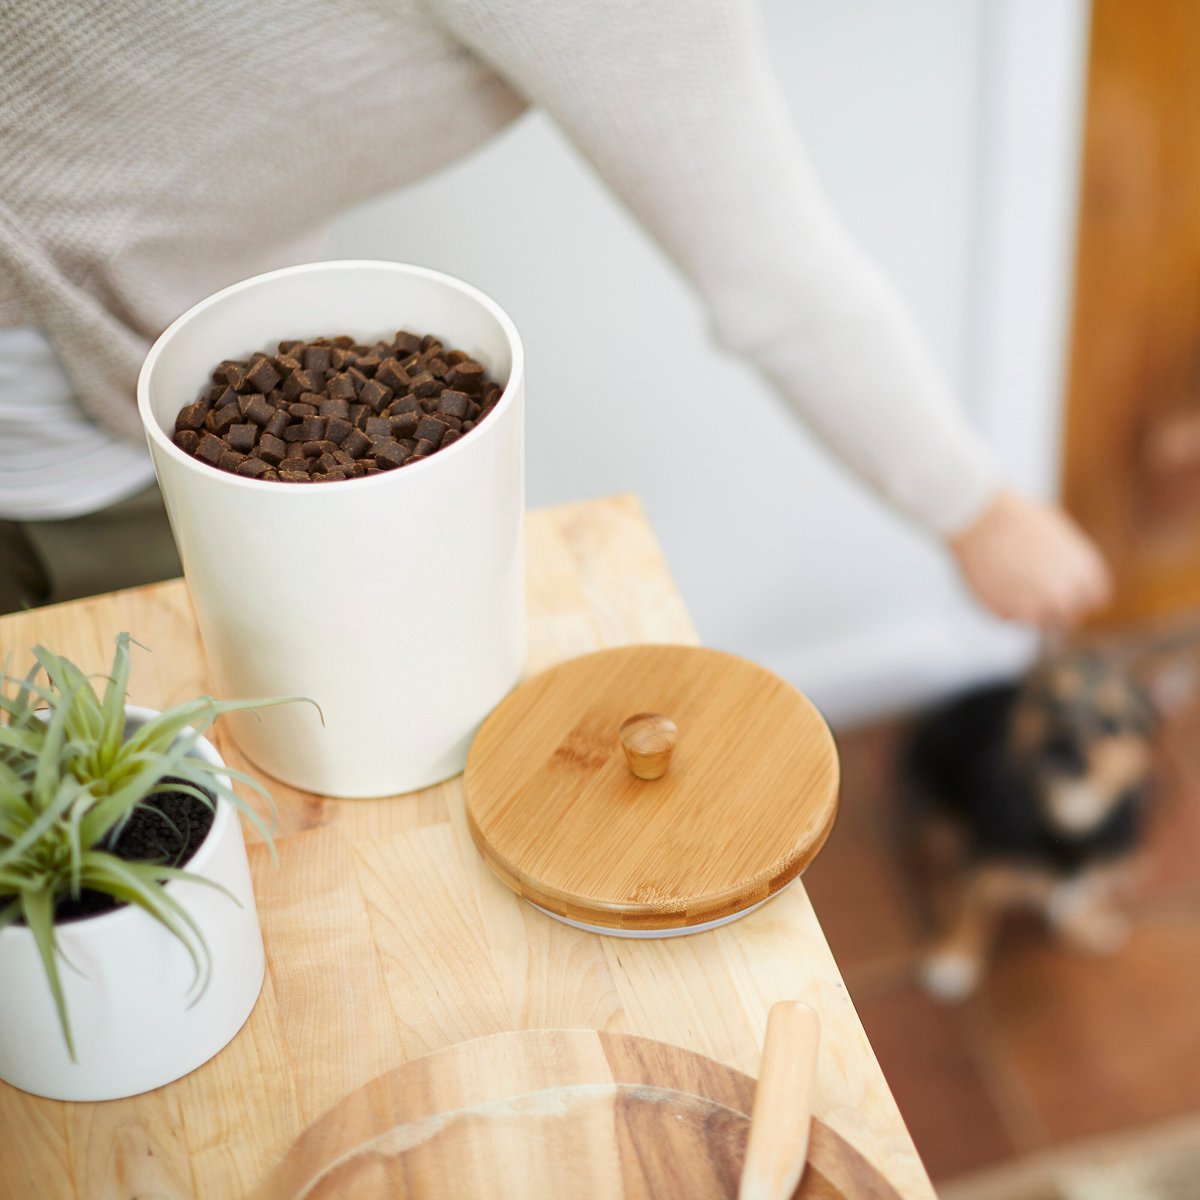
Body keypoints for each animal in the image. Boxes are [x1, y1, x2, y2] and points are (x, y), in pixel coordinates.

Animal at [902, 652, 1156, 998]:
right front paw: (955, 958)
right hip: (936, 811)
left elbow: (1087, 891)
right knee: (938, 866)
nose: (1060, 748)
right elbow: (972, 910)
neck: (1066, 816)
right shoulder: (984, 866)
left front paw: (1087, 923)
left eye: (1110, 724)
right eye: (1050, 702)